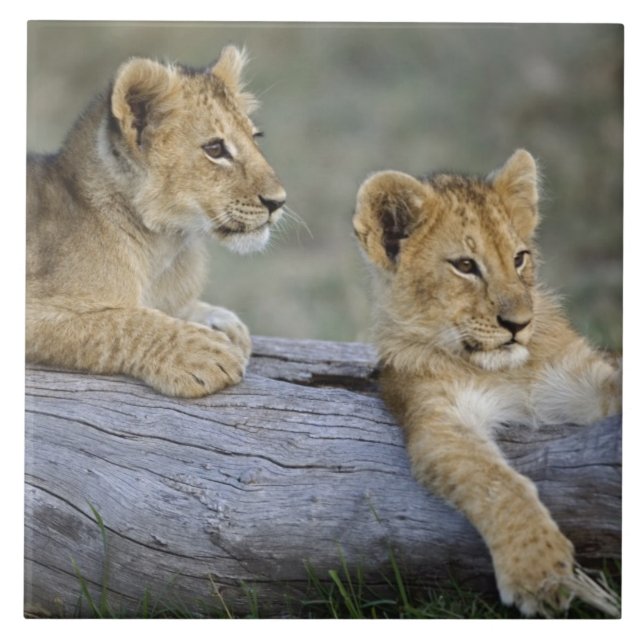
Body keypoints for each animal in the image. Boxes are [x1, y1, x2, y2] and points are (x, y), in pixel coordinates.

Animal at [27, 46, 286, 398]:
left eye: (255, 137)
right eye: (215, 148)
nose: (278, 201)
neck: (165, 247)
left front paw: (221, 321)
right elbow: (117, 323)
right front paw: (201, 352)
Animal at [353, 149, 621, 616]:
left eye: (519, 258)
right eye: (465, 266)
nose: (519, 324)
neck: (505, 370)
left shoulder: (584, 377)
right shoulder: (438, 418)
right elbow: (498, 483)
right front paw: (539, 572)